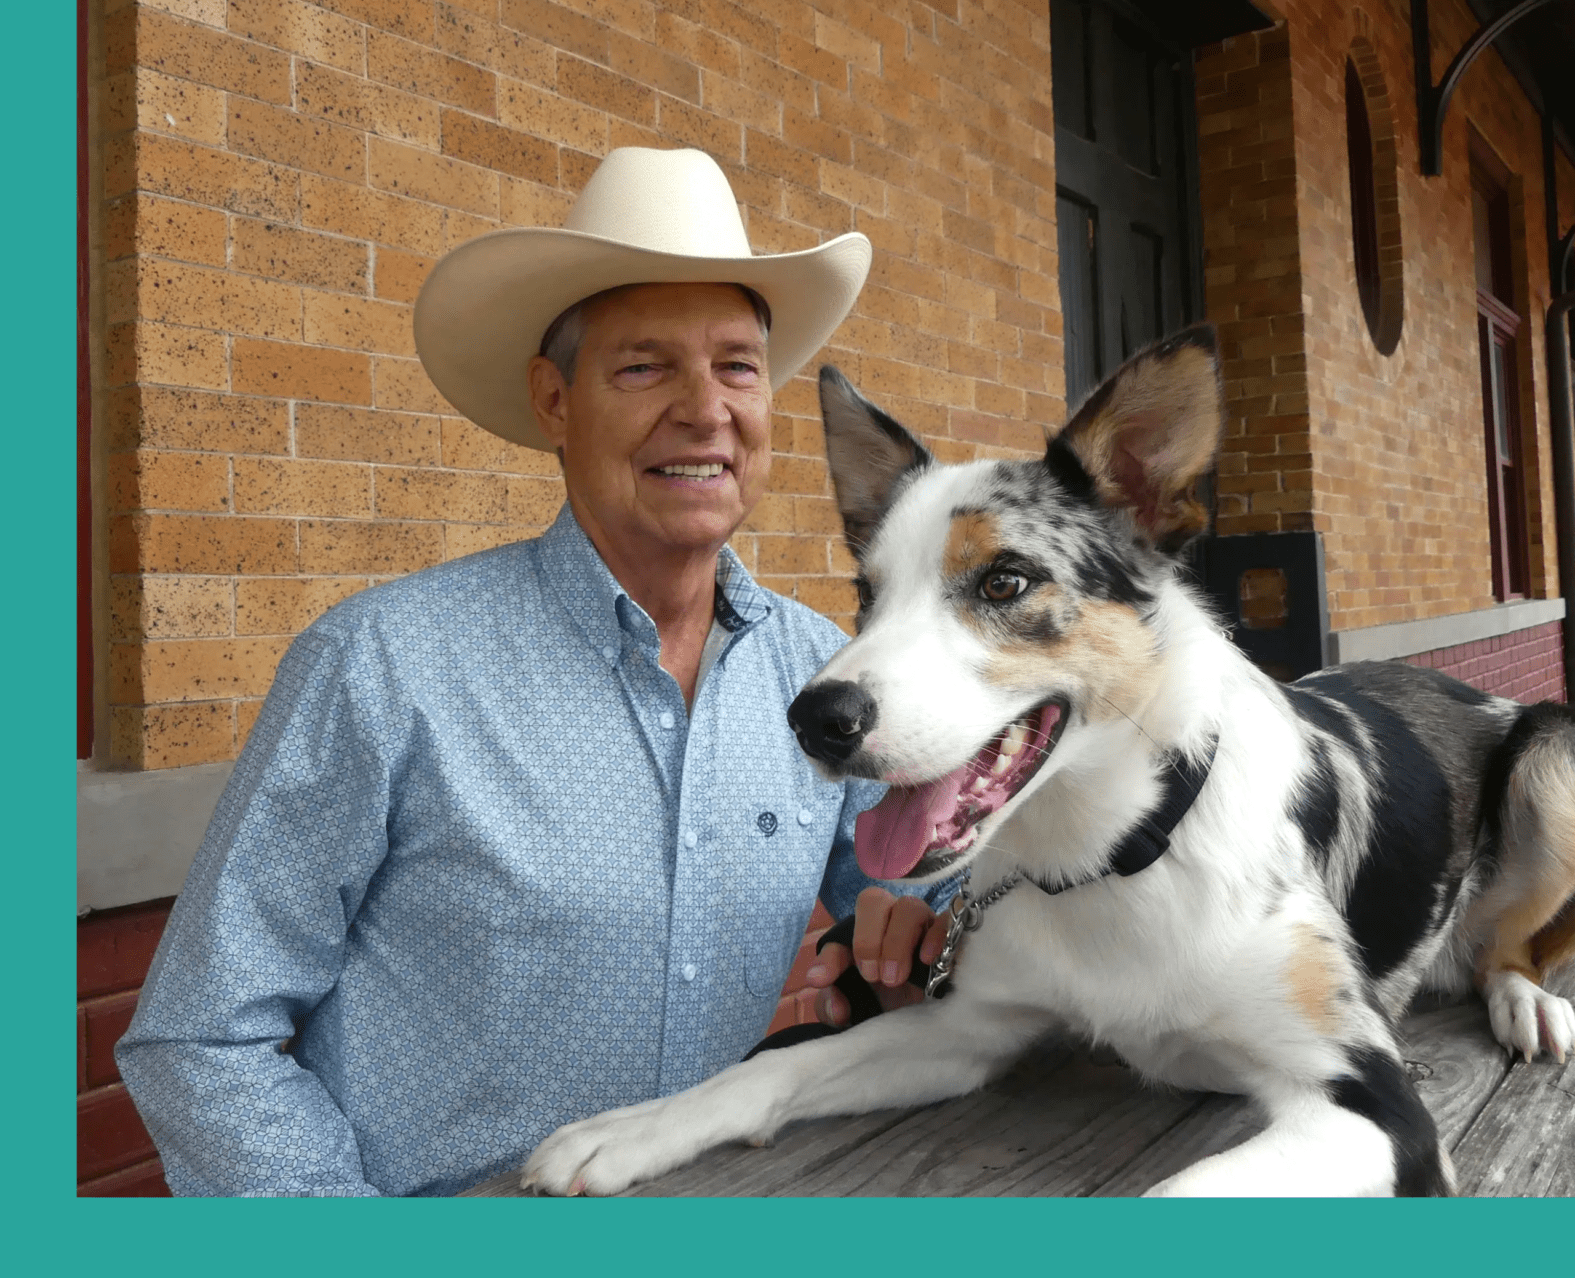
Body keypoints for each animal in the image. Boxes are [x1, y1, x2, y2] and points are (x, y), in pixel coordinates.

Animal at [526, 324, 1575, 1197]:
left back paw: (1526, 1004)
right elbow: (780, 1064)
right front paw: (631, 1128)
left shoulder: (1370, 1105)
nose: (814, 719)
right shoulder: (964, 1028)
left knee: (1512, 944)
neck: (1115, 855)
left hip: (1551, 754)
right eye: (865, 593)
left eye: (1004, 581)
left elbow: (1174, 1199)